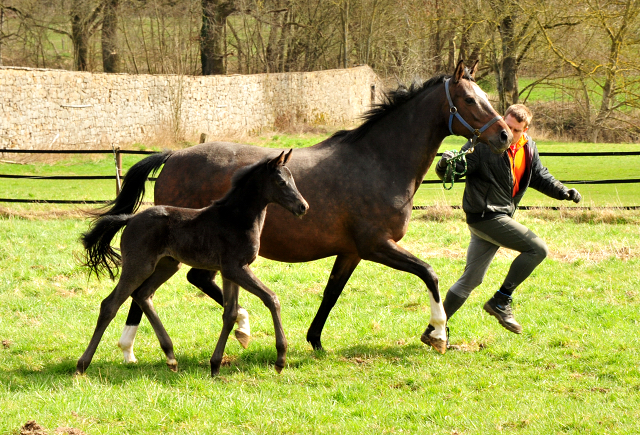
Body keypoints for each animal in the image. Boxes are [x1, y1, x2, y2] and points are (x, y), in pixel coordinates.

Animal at [77, 152, 308, 376]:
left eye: (293, 180)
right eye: (281, 181)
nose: (303, 207)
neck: (236, 219)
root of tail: (130, 218)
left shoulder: (229, 273)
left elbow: (230, 313)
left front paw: (215, 365)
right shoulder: (236, 268)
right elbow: (271, 298)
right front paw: (280, 359)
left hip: (168, 265)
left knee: (143, 295)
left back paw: (170, 356)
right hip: (138, 266)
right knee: (110, 304)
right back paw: (82, 364)